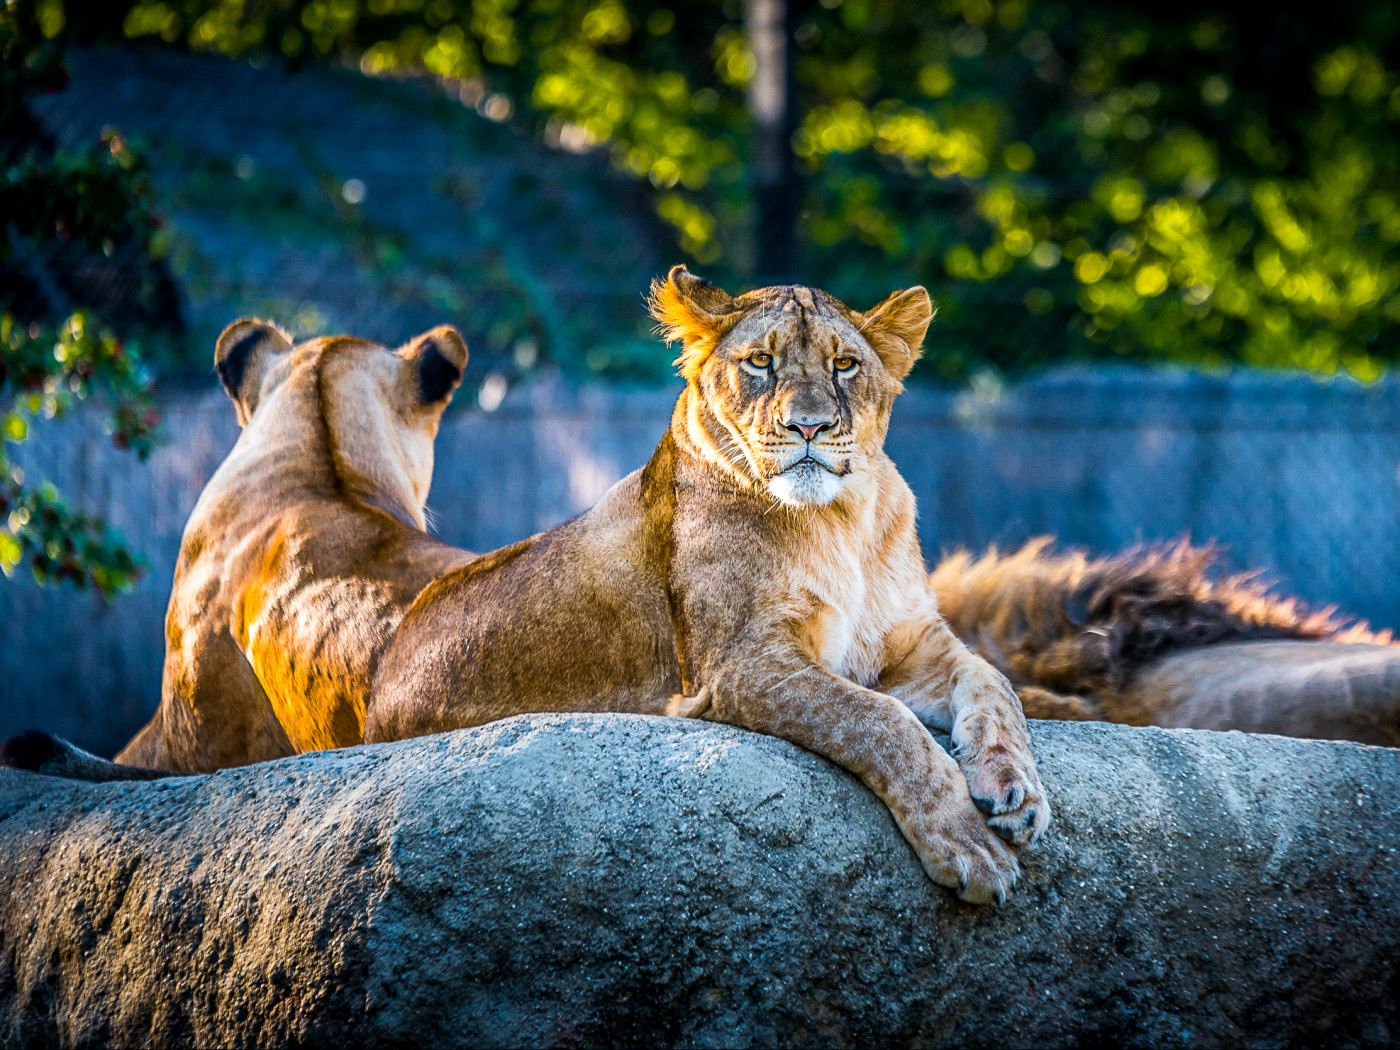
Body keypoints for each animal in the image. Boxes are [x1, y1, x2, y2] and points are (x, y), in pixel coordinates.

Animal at [364, 266, 1051, 904]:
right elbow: (882, 722)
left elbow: (995, 681)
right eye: (761, 362)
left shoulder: (906, 643)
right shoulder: (741, 665)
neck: (841, 519)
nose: (809, 427)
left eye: (845, 364)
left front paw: (1014, 791)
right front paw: (967, 845)